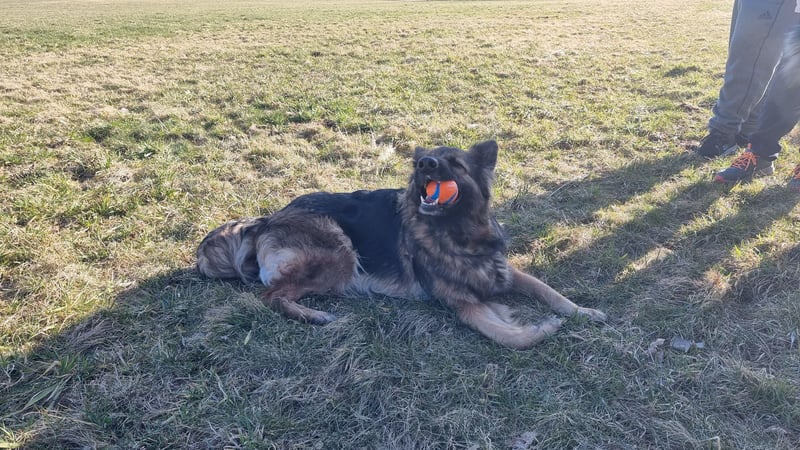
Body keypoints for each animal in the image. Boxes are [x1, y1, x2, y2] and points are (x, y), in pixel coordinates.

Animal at [197, 140, 606, 349]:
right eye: (424, 161)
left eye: (455, 163)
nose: (424, 164)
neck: (455, 235)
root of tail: (267, 220)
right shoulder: (459, 302)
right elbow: (508, 337)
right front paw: (543, 328)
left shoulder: (505, 272)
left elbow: (551, 292)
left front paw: (583, 312)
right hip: (339, 253)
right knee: (270, 298)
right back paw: (314, 315)